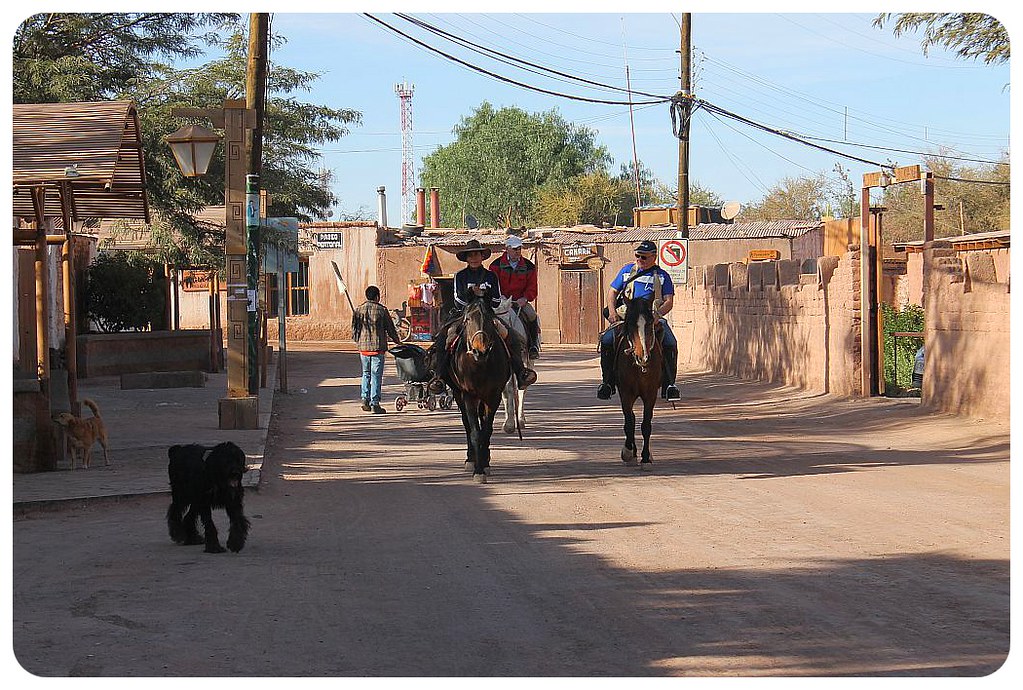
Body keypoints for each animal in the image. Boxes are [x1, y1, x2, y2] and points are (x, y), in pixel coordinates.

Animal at [446, 298, 511, 481]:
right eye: (468, 319)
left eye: (490, 319)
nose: (480, 350)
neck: (479, 365)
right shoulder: (469, 395)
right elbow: (474, 431)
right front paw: (478, 470)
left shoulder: (493, 396)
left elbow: (486, 430)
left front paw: (485, 464)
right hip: (459, 394)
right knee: (467, 424)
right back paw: (471, 459)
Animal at [491, 294, 531, 436]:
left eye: (507, 318)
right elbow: (505, 390)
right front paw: (508, 423)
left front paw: (511, 423)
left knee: (522, 389)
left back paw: (521, 419)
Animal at [609, 294, 658, 466]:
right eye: (630, 323)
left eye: (650, 322)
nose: (643, 357)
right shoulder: (625, 393)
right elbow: (629, 423)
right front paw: (629, 452)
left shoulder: (651, 394)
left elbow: (646, 425)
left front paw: (646, 457)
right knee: (630, 418)